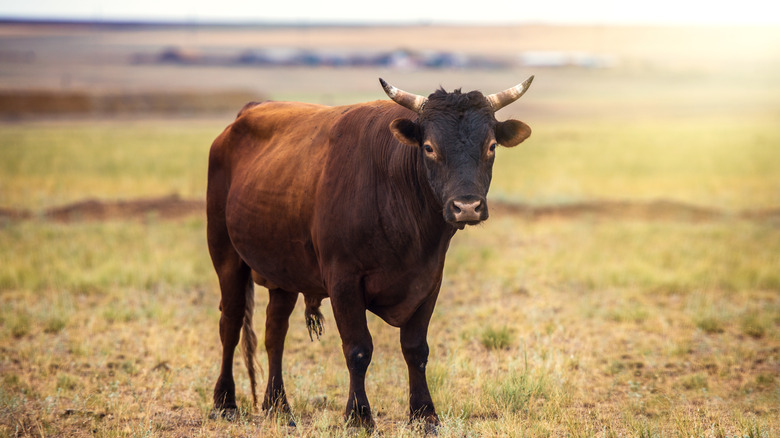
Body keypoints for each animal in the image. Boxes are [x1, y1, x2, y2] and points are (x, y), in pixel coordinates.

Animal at [206, 77, 536, 430]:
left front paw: (424, 413)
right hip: (226, 257)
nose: (467, 207)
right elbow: (358, 348)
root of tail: (242, 116)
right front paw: (359, 415)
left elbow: (416, 349)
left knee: (274, 332)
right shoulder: (343, 282)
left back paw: (278, 405)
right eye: (429, 147)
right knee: (230, 324)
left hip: (283, 272)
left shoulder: (429, 281)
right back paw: (225, 401)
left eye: (491, 146)